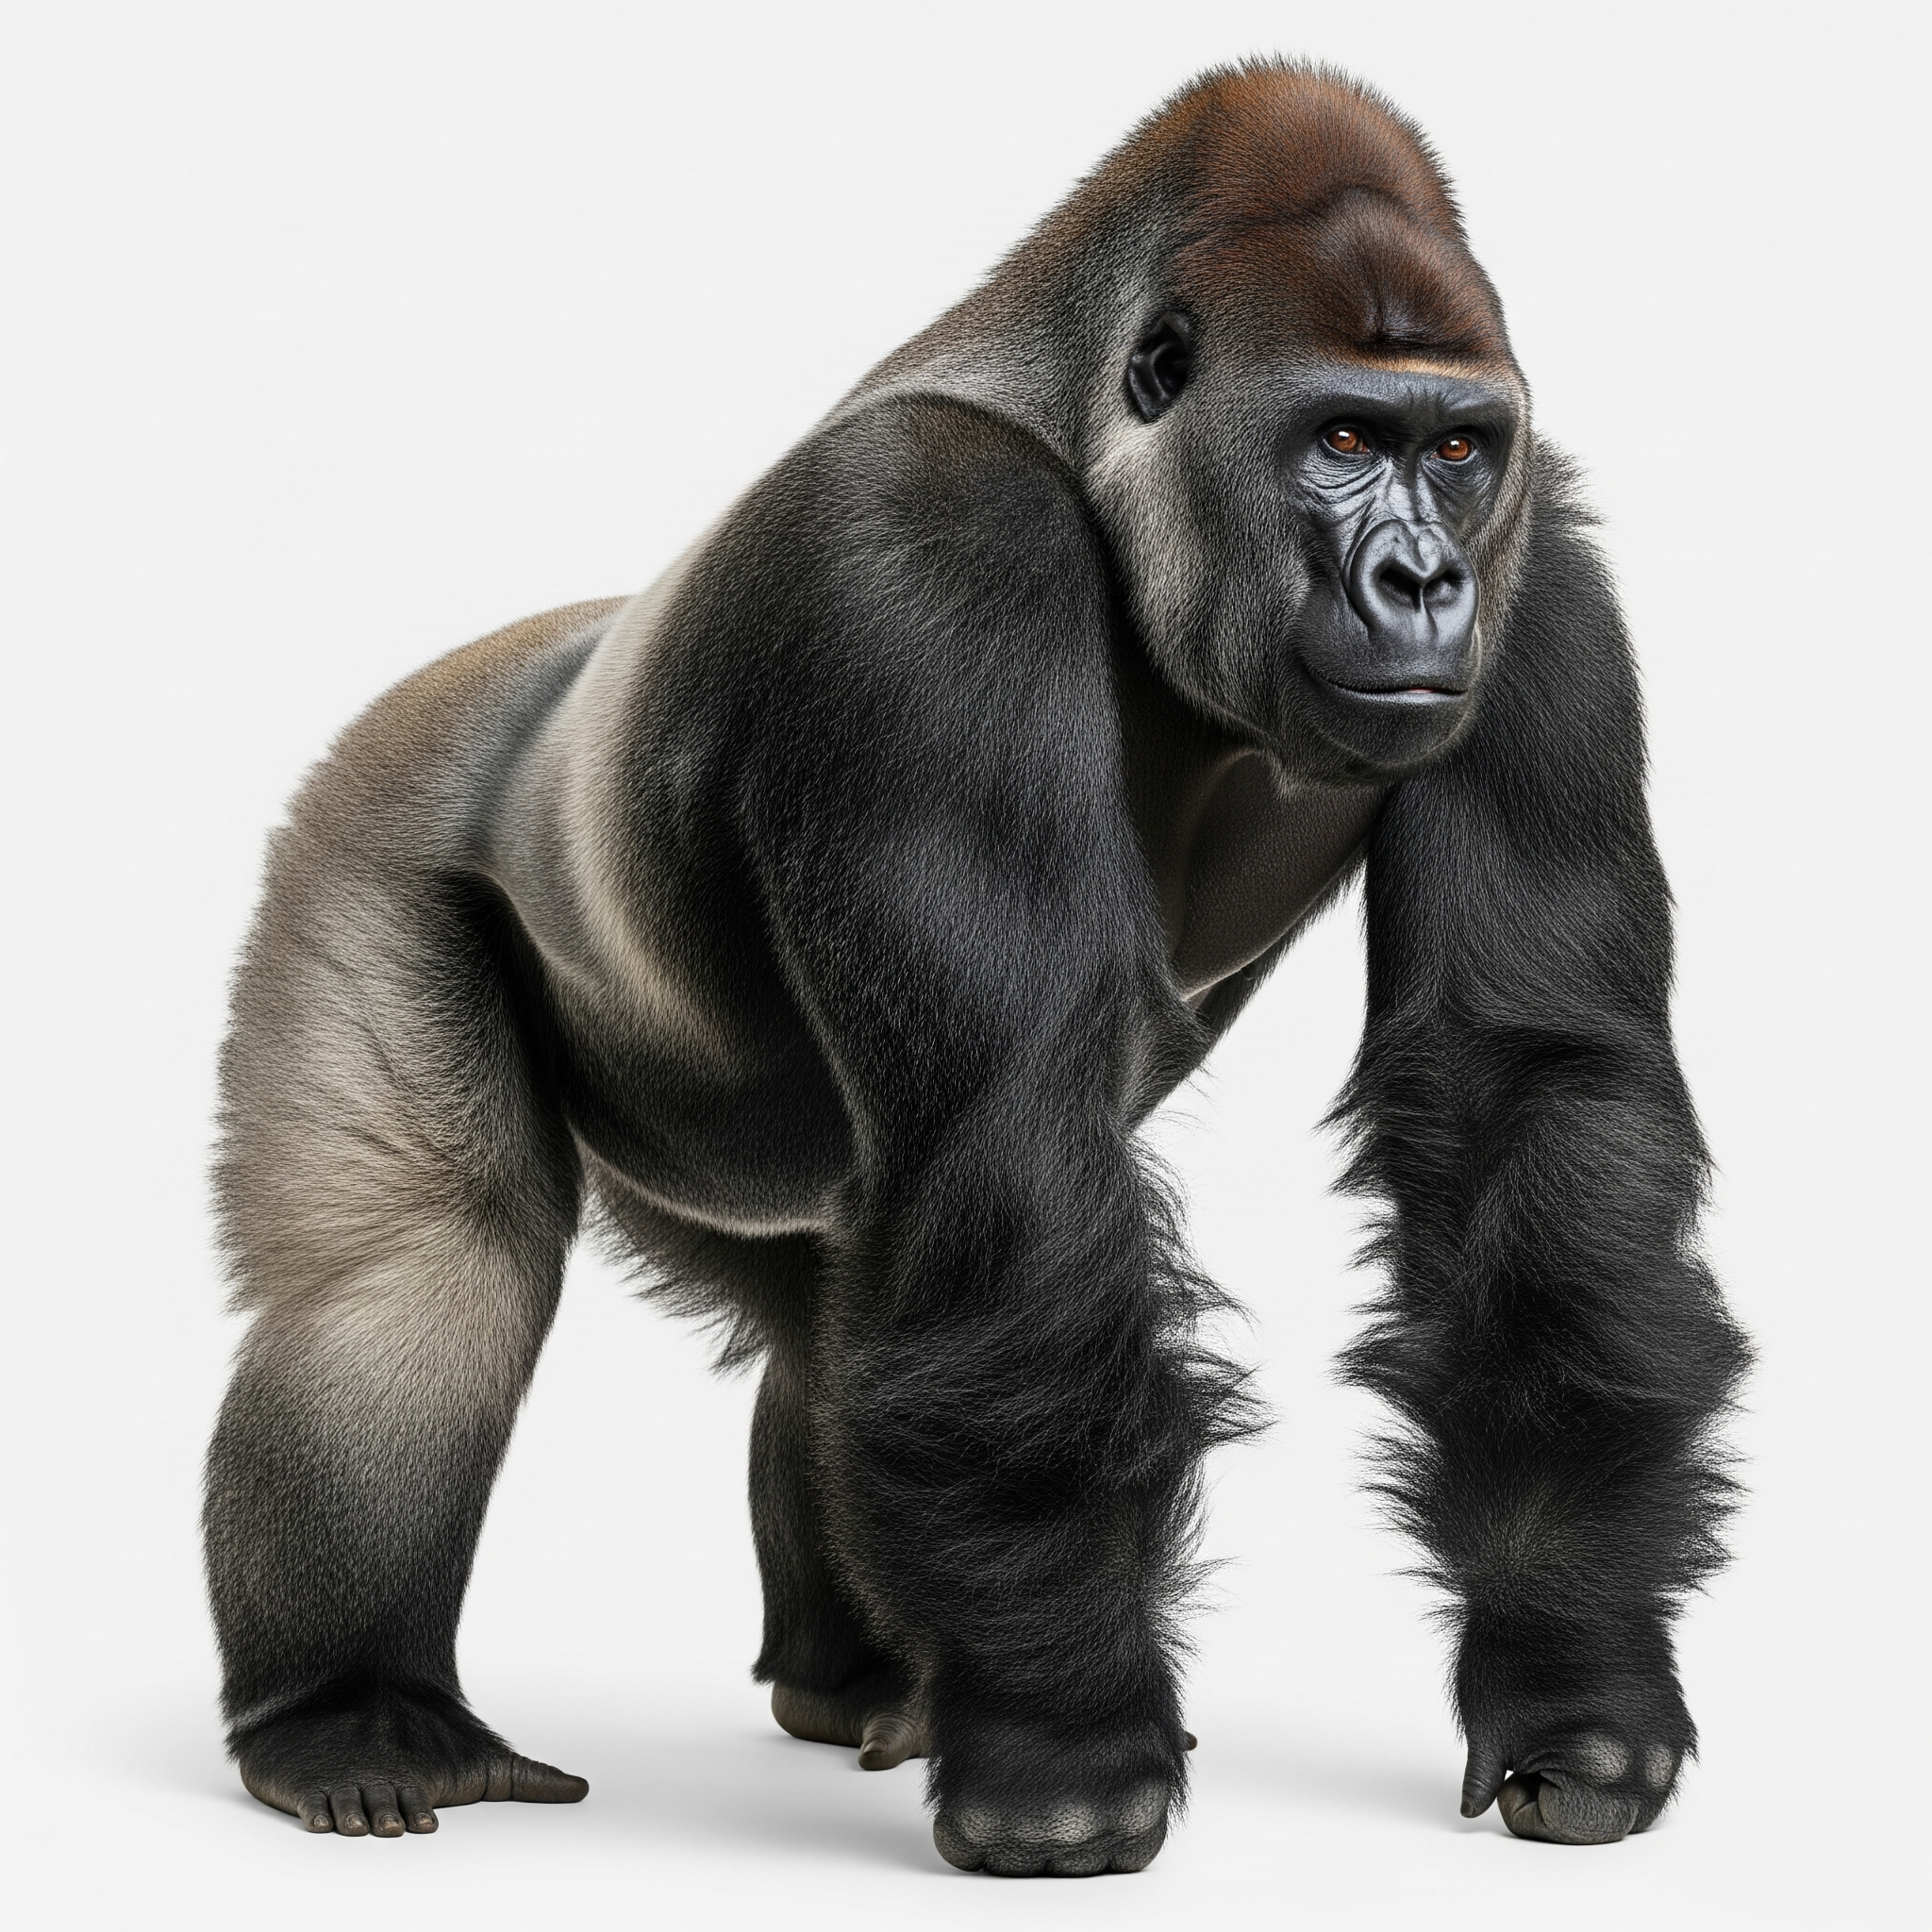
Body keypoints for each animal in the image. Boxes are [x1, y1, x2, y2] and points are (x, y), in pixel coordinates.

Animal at [204, 60, 1748, 1875]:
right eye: (1342, 440)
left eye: (1454, 451)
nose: (1423, 578)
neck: (1084, 437)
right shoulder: (922, 555)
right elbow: (1008, 1120)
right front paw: (1066, 1750)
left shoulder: (1543, 564)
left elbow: (1525, 1092)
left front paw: (1572, 1667)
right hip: (369, 811)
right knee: (414, 1272)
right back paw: (346, 1712)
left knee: (832, 1322)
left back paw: (863, 1675)